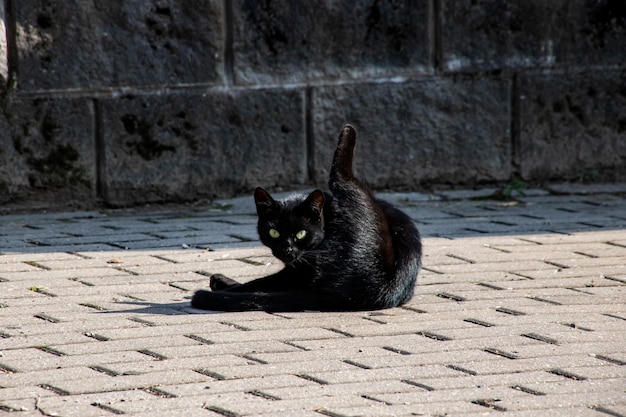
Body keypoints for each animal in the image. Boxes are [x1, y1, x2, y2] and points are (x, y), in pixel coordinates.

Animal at [189, 125, 420, 310]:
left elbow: (258, 283)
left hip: (355, 193)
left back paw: (347, 133)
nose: (287, 249)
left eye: (301, 233)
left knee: (341, 174)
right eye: (274, 232)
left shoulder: (299, 267)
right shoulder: (297, 269)